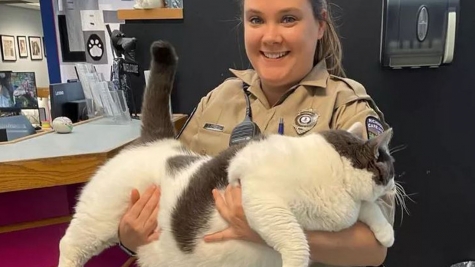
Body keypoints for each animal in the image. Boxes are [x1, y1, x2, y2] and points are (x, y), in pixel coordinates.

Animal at [56, 40, 398, 267]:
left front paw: (386, 234)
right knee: (68, 244)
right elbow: (296, 239)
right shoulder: (263, 201)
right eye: (389, 169)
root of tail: (157, 140)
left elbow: (370, 210)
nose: (396, 186)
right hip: (97, 219)